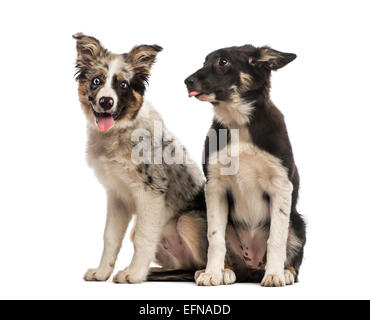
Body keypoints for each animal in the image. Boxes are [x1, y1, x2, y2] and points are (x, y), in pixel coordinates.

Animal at [185, 45, 306, 288]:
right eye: (204, 61)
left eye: (223, 61)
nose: (187, 82)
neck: (237, 122)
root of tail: (252, 268)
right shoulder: (215, 187)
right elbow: (215, 238)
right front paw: (212, 273)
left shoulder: (281, 185)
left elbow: (276, 238)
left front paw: (274, 274)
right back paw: (223, 271)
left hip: (297, 223)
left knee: (292, 257)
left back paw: (284, 271)